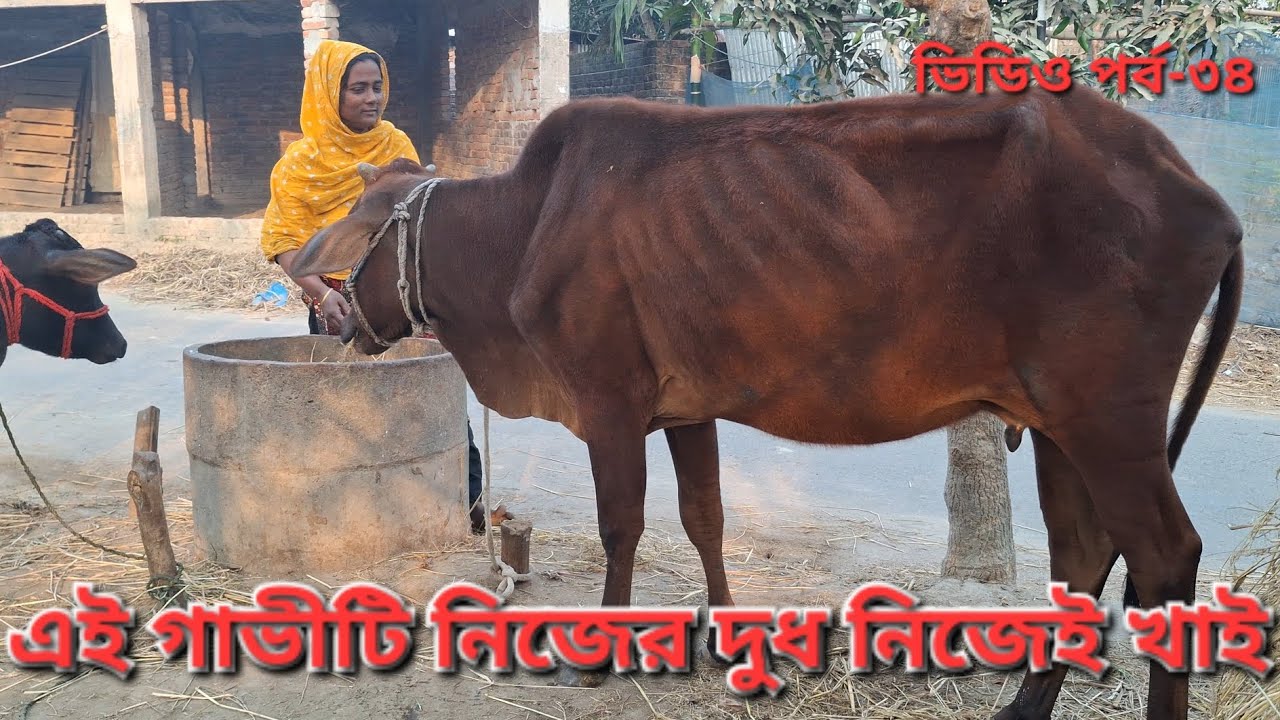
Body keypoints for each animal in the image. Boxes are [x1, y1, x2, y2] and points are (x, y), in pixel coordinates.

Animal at [289, 82, 1243, 720]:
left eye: (355, 239)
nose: (329, 317)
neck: (519, 229)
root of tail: (1204, 196)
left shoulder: (608, 401)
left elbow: (623, 524)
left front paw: (597, 659)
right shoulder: (685, 409)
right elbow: (705, 515)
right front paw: (728, 637)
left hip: (1109, 419)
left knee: (1164, 555)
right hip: (1055, 424)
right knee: (1084, 554)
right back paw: (1020, 705)